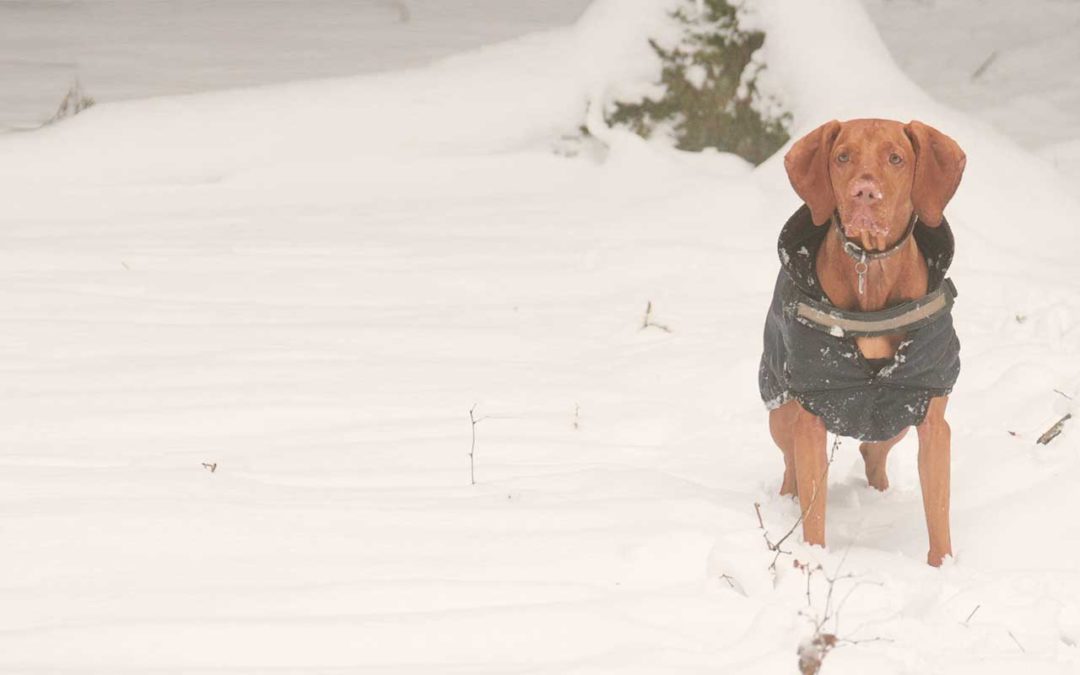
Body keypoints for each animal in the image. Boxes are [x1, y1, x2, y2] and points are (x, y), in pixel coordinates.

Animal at [764, 118, 967, 565]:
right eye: (843, 157)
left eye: (896, 158)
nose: (865, 193)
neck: (870, 271)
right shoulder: (810, 417)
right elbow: (813, 508)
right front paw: (812, 560)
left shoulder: (930, 416)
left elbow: (939, 511)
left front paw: (942, 567)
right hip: (781, 412)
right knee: (789, 468)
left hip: (892, 418)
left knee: (872, 452)